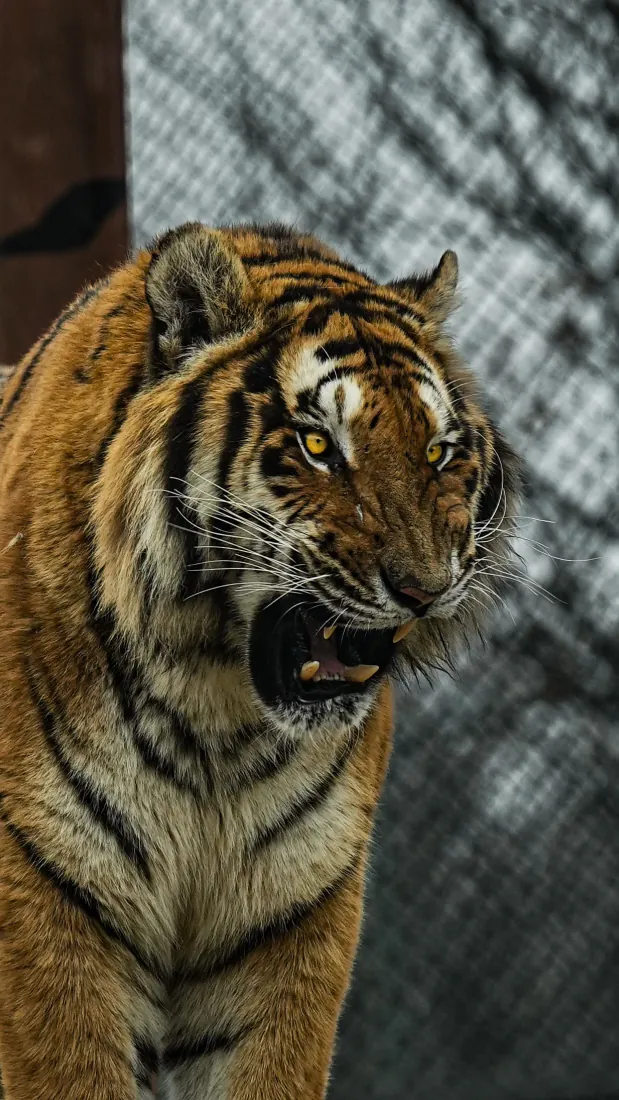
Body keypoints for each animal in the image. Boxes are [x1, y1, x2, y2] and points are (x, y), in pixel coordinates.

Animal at [0, 221, 517, 1099]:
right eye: (317, 445)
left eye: (438, 451)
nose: (424, 589)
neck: (214, 712)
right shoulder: (48, 899)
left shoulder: (287, 923)